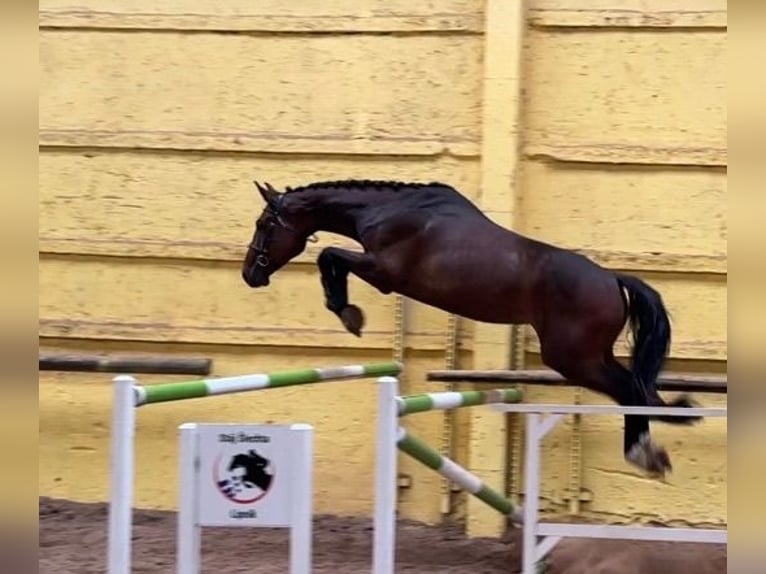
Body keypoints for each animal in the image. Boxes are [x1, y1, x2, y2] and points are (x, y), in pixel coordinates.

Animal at [243, 179, 704, 476]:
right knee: (635, 389)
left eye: (264, 225)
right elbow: (331, 257)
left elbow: (330, 257)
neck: (388, 212)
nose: (250, 274)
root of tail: (612, 280)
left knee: (629, 391)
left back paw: (644, 455)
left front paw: (347, 312)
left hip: (573, 358)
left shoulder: (382, 271)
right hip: (590, 355)